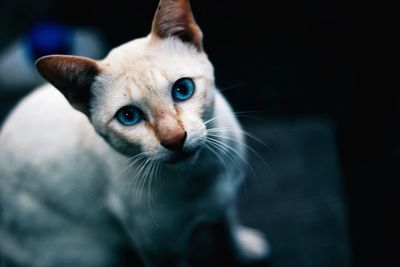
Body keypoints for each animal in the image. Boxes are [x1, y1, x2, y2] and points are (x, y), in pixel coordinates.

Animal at [0, 0, 268, 267]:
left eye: (183, 89)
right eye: (128, 116)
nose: (174, 139)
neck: (199, 174)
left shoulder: (225, 201)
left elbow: (227, 227)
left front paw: (243, 252)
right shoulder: (163, 251)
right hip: (91, 253)